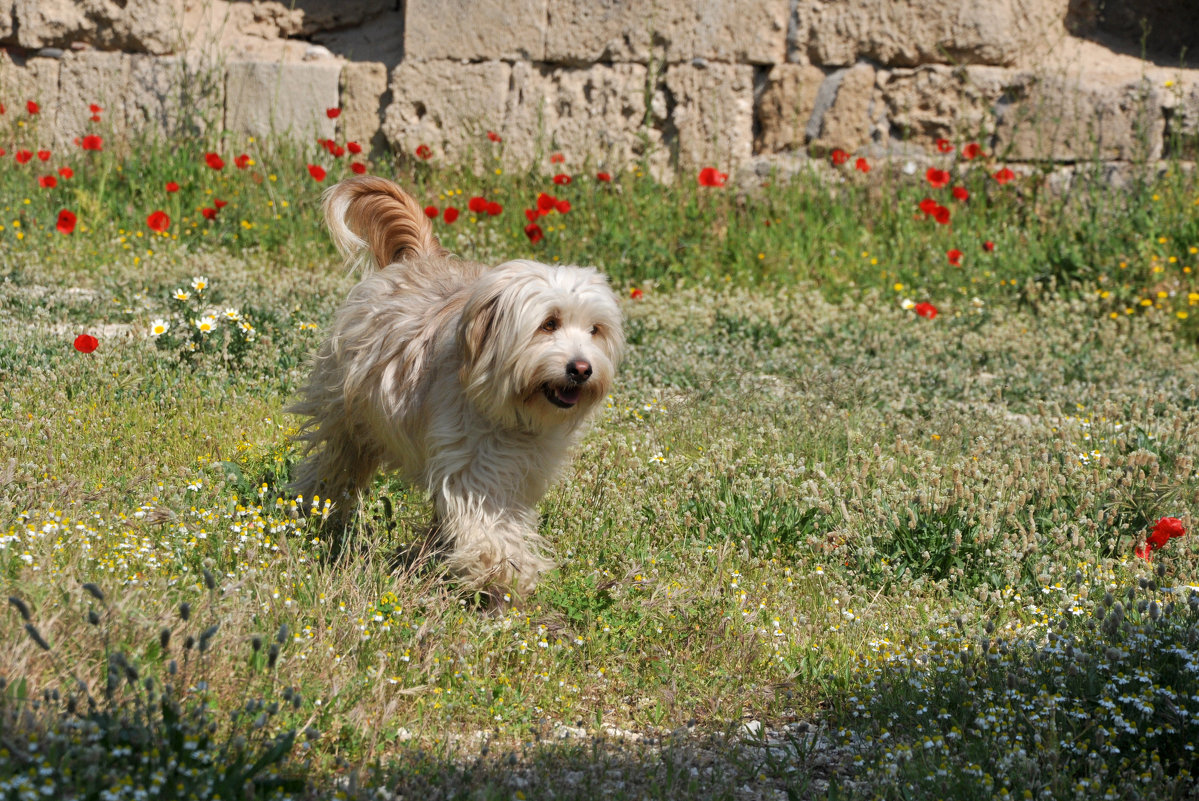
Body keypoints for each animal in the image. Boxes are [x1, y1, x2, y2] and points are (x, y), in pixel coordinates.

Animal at [290, 176, 628, 599]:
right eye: (549, 323)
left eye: (595, 330)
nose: (581, 369)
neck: (511, 412)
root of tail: (419, 259)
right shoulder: (470, 465)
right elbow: (482, 521)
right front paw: (502, 572)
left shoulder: (519, 471)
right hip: (350, 414)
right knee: (337, 461)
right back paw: (318, 507)